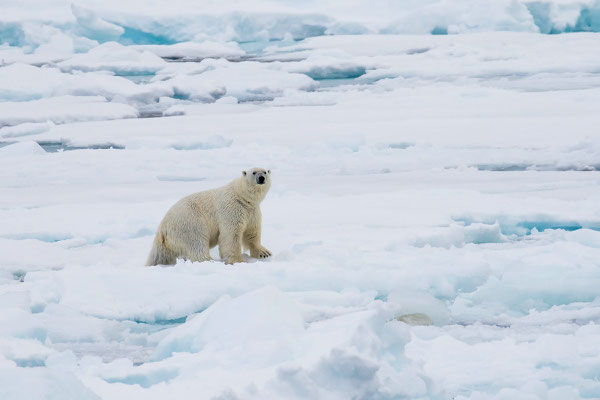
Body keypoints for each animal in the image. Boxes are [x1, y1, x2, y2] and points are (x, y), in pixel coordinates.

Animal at [146, 167, 274, 268]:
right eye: (253, 172)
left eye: (265, 171)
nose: (261, 178)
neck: (241, 197)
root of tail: (162, 229)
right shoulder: (231, 210)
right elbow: (231, 236)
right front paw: (238, 261)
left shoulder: (252, 212)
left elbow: (252, 232)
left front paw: (264, 253)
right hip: (190, 222)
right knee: (197, 243)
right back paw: (209, 261)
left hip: (168, 242)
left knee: (161, 255)